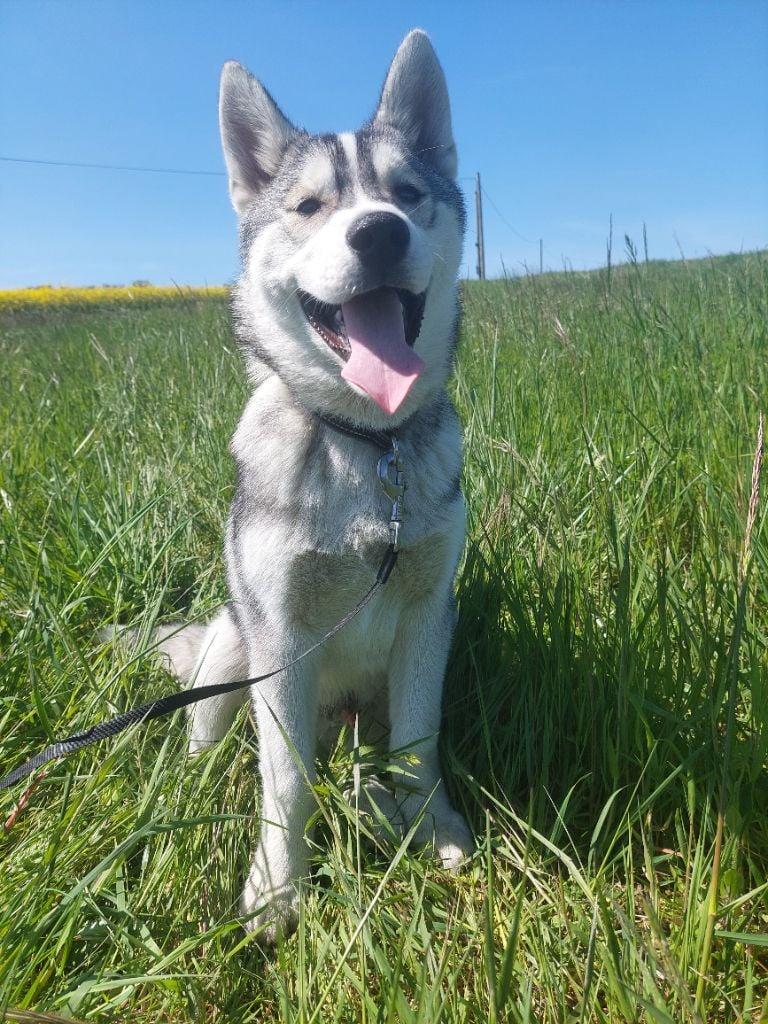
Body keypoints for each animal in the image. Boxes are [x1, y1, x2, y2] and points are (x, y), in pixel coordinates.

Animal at [156, 28, 473, 937]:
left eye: (407, 194)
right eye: (307, 207)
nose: (379, 233)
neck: (366, 446)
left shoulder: (428, 614)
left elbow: (419, 741)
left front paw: (433, 824)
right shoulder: (281, 638)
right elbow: (286, 779)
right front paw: (278, 884)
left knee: (368, 758)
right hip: (231, 642)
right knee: (209, 732)